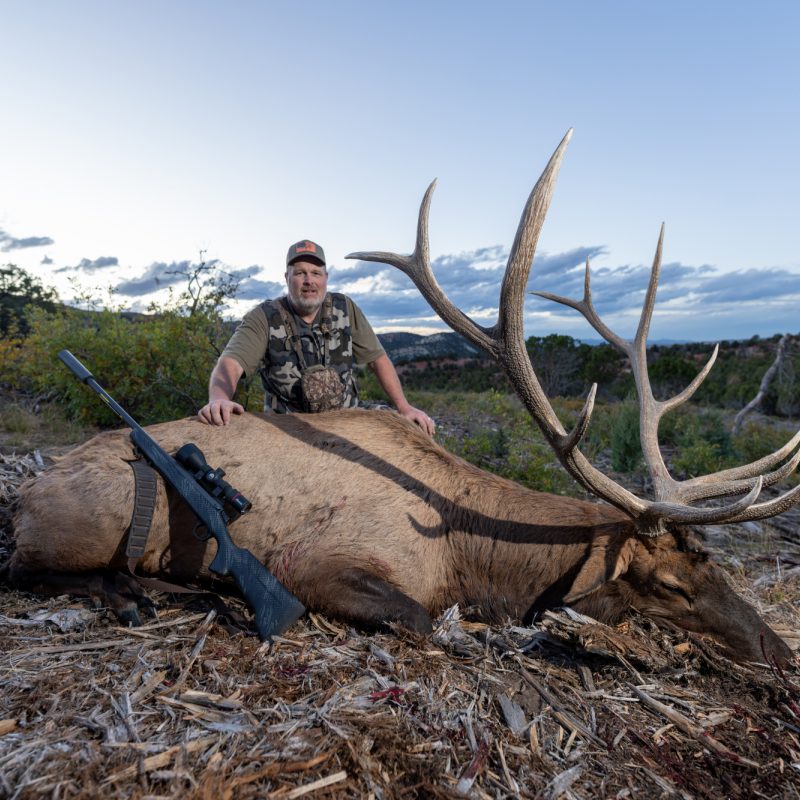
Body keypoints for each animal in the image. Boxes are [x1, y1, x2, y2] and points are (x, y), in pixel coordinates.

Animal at [3, 130, 799, 667]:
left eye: (716, 563)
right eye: (669, 584)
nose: (778, 649)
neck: (467, 550)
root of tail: (26, 491)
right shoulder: (321, 568)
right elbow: (427, 621)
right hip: (88, 523)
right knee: (26, 570)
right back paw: (139, 592)